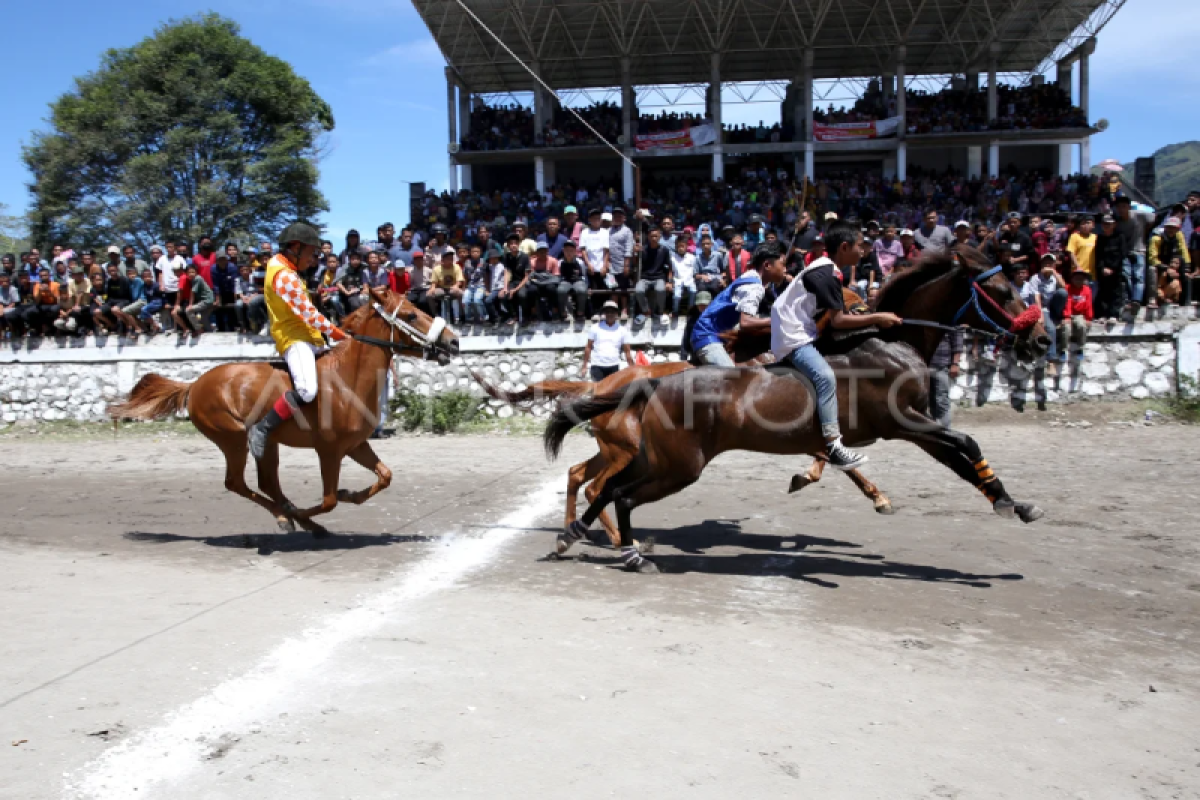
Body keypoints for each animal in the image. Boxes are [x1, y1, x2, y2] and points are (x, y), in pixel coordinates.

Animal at [109, 287, 458, 537]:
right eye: (411, 315)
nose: (453, 342)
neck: (346, 379)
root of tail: (195, 384)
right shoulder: (329, 450)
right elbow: (329, 499)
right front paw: (306, 511)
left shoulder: (356, 444)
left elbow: (384, 477)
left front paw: (348, 494)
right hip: (233, 439)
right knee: (237, 483)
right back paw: (288, 517)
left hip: (268, 444)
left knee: (266, 484)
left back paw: (296, 519)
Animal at [544, 247, 1051, 573]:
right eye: (1002, 290)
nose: (1042, 339)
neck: (891, 342)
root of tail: (646, 382)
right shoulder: (904, 424)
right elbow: (966, 442)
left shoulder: (917, 430)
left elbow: (960, 460)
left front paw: (1012, 501)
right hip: (675, 465)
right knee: (618, 493)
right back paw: (622, 549)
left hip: (652, 457)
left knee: (602, 488)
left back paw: (578, 536)